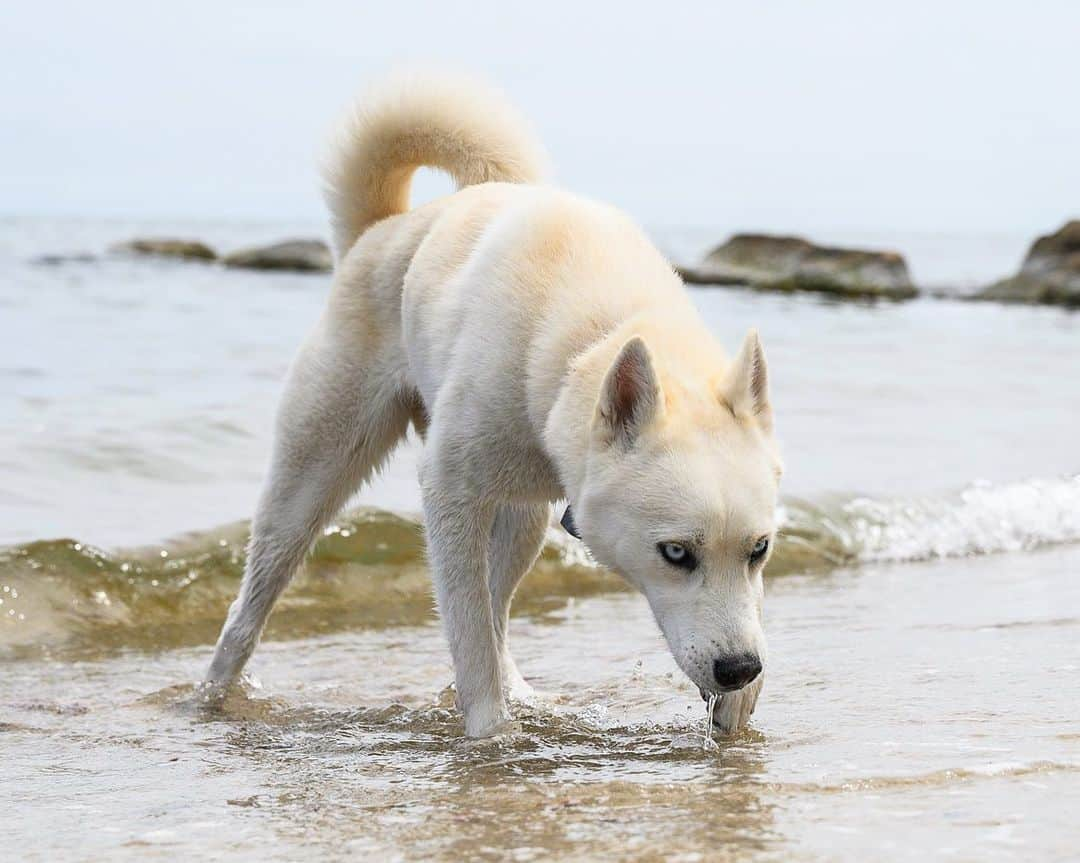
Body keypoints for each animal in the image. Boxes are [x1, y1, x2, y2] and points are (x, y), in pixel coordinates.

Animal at [204, 72, 777, 734]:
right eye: (676, 553)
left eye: (759, 550)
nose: (738, 668)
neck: (593, 332)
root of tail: (381, 229)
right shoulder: (449, 494)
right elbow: (470, 638)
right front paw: (487, 735)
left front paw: (737, 714)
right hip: (311, 478)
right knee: (256, 598)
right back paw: (213, 692)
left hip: (523, 519)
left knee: (500, 605)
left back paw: (524, 694)